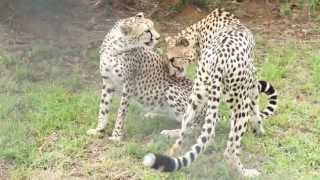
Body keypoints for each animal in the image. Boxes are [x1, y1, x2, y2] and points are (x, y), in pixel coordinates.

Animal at [144, 9, 278, 176]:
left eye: (173, 59)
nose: (171, 74)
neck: (198, 34)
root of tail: (218, 59)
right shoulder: (252, 82)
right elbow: (256, 108)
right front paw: (259, 130)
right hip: (240, 107)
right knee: (228, 149)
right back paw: (245, 172)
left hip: (196, 98)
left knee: (185, 132)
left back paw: (171, 149)